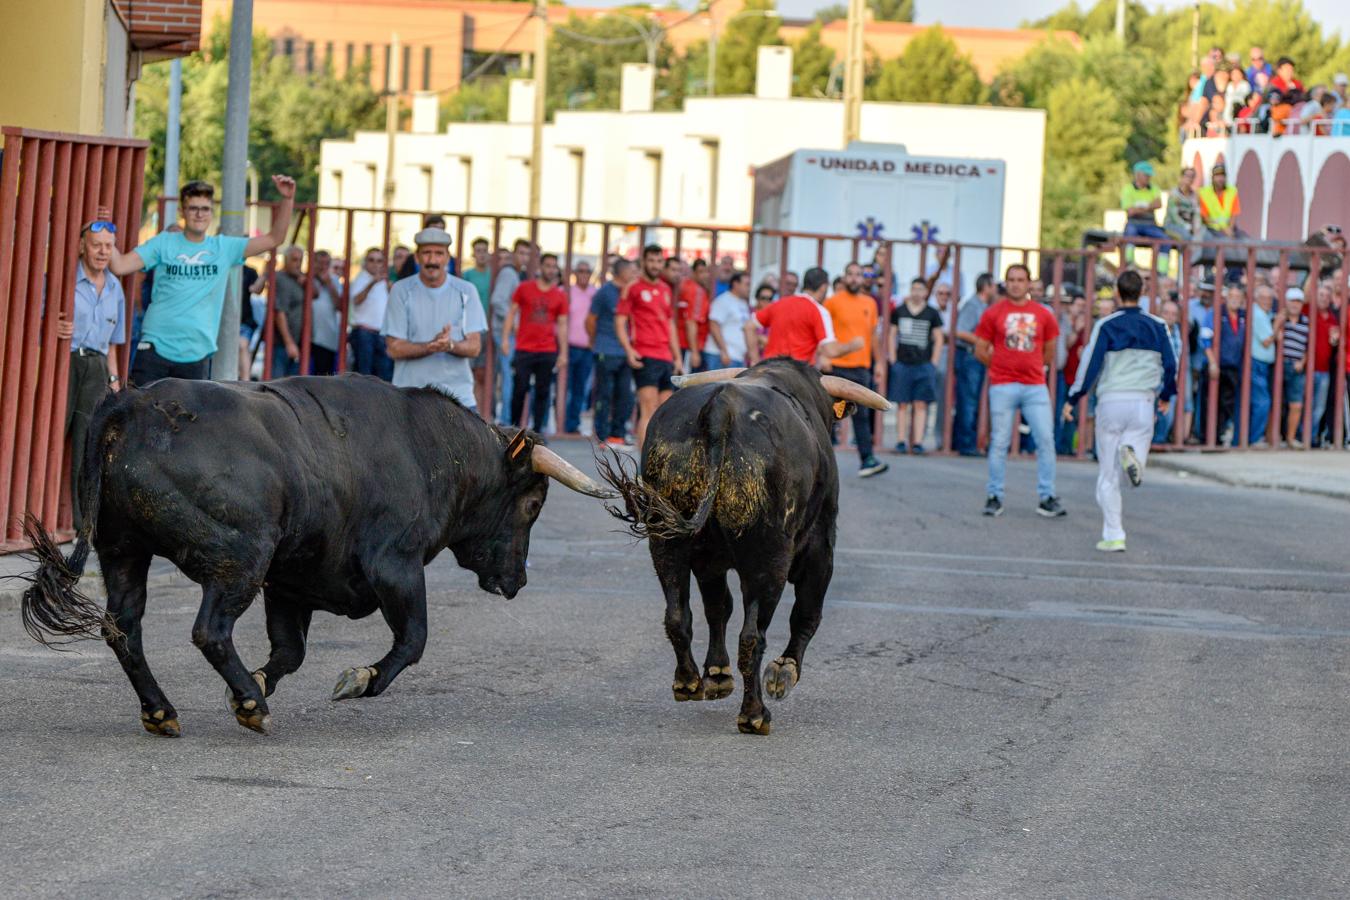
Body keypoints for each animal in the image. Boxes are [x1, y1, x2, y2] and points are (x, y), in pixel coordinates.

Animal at [21, 372, 615, 734]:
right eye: (533, 502)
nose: (516, 581)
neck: (429, 448)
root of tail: (132, 404)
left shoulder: (290, 582)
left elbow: (291, 652)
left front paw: (260, 681)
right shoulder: (395, 565)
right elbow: (414, 639)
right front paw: (358, 680)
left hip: (123, 550)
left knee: (124, 628)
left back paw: (163, 711)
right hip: (239, 558)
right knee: (209, 630)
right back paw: (250, 706)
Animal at [596, 356, 891, 734]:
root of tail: (720, 409)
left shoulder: (709, 562)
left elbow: (718, 608)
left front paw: (717, 674)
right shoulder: (821, 547)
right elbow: (807, 613)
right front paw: (784, 671)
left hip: (666, 543)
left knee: (678, 614)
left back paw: (688, 682)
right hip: (769, 560)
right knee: (752, 637)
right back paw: (754, 714)